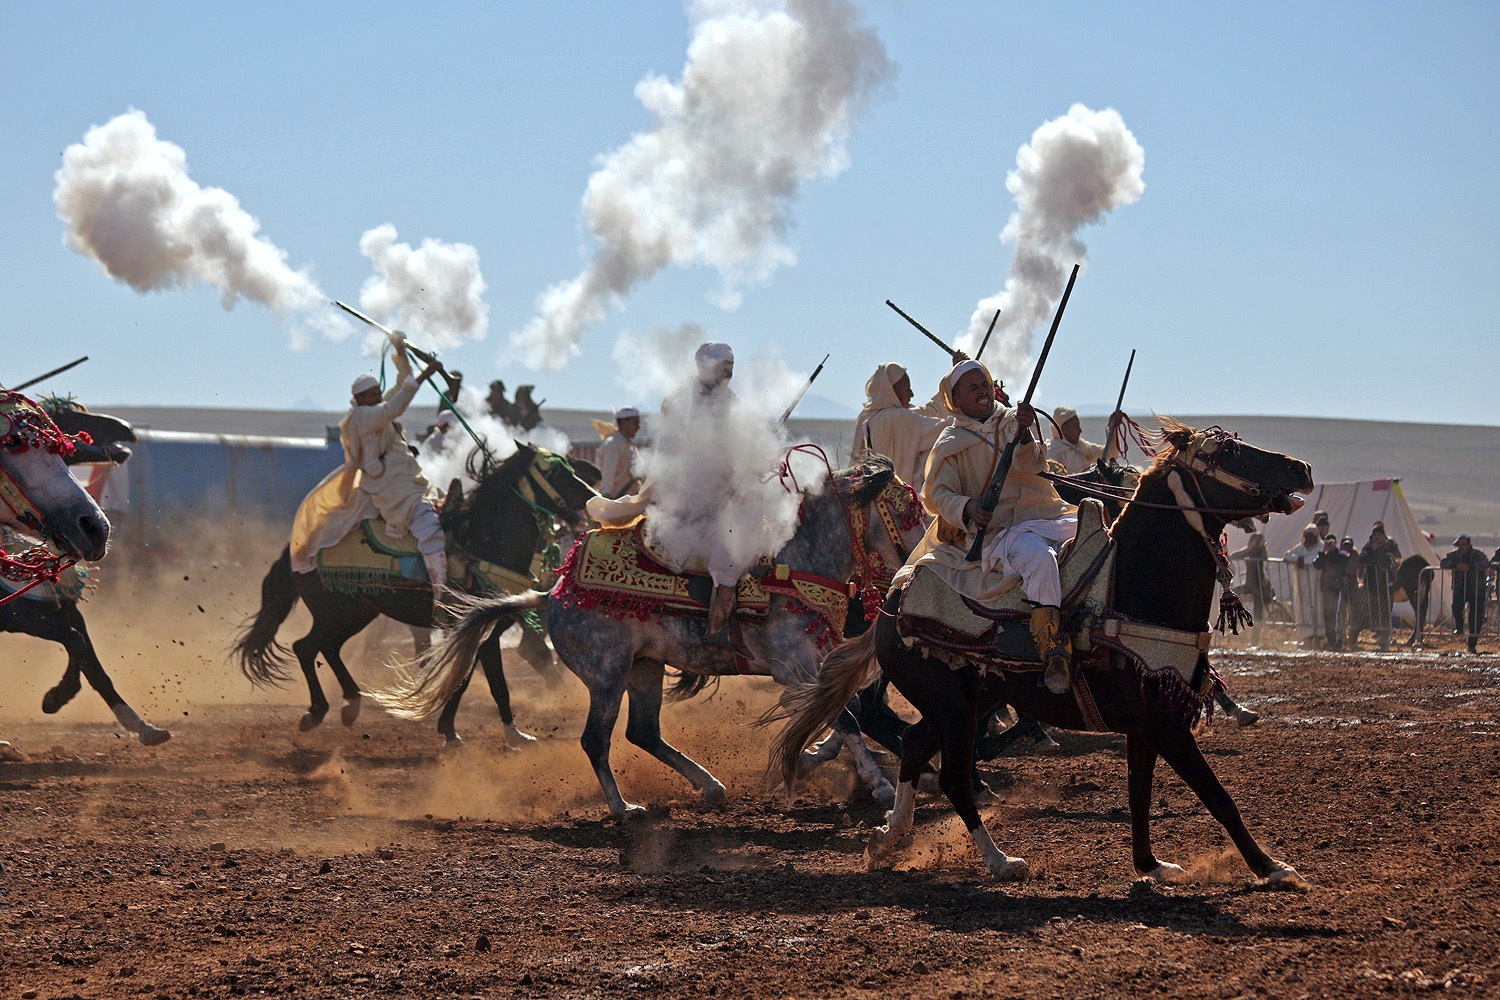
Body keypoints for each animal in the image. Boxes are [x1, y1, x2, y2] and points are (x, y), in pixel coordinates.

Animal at [0, 386, 170, 755]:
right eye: (69, 418)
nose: (96, 528)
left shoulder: (65, 608)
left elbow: (92, 662)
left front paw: (142, 726)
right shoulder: (18, 616)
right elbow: (75, 642)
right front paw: (54, 698)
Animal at [231, 446, 594, 743]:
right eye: (556, 471)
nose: (592, 494)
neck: (483, 542)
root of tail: (298, 550)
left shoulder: (482, 631)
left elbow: (481, 681)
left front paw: (504, 734)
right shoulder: (474, 630)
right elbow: (475, 679)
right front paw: (459, 734)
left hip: (358, 613)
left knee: (328, 648)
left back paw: (351, 703)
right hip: (336, 612)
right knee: (306, 647)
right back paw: (317, 712)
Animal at [378, 452, 924, 815]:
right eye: (907, 510)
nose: (923, 559)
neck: (796, 560)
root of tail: (552, 592)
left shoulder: (819, 661)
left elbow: (845, 712)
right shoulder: (792, 666)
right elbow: (846, 718)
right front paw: (879, 786)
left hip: (645, 667)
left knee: (642, 731)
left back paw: (710, 786)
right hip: (607, 675)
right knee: (596, 740)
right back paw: (623, 808)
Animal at [774, 419, 1314, 887]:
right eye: (1226, 453)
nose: (1301, 468)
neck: (1130, 589)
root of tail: (888, 606)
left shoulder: (1146, 722)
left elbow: (1140, 793)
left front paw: (1151, 865)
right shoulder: (1166, 723)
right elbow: (1218, 795)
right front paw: (1272, 868)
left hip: (967, 702)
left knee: (912, 743)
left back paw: (889, 836)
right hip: (955, 708)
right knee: (951, 776)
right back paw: (998, 860)